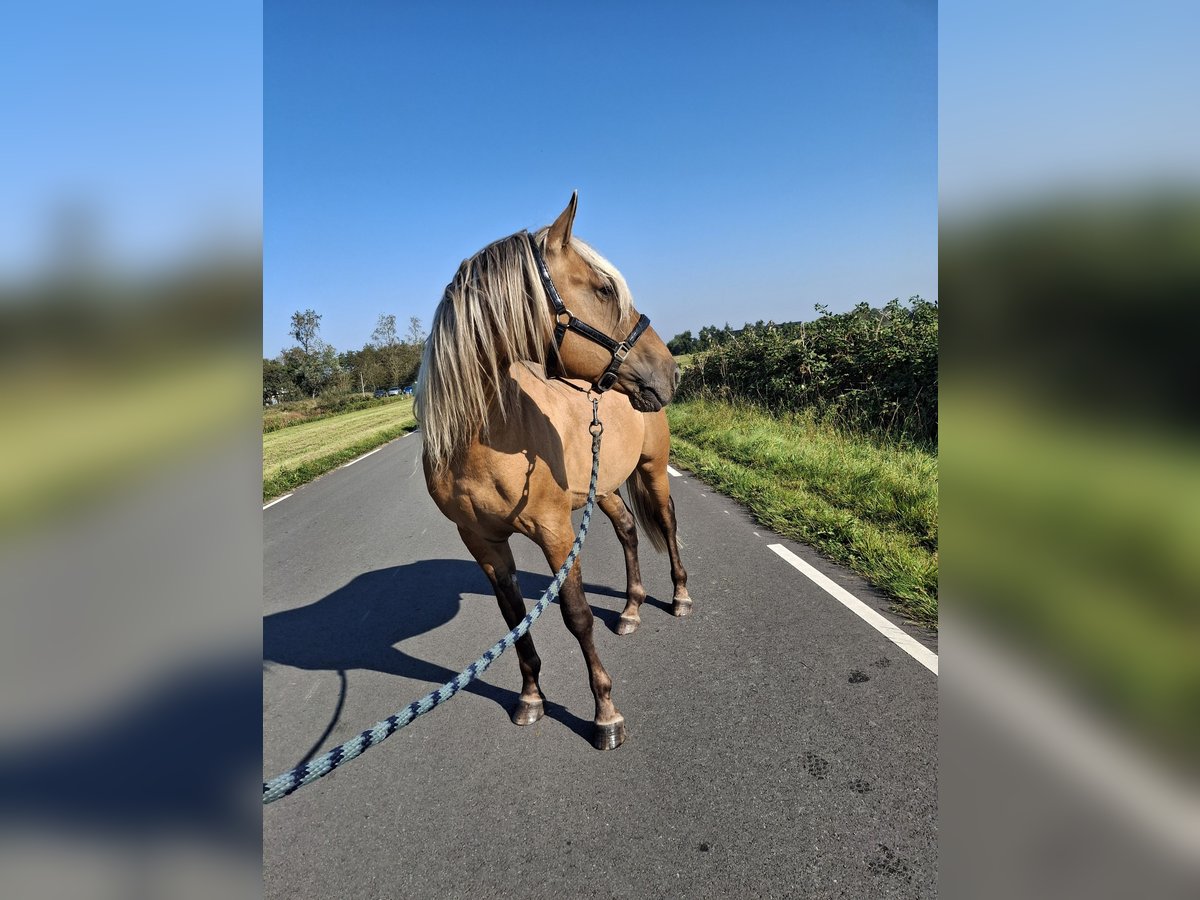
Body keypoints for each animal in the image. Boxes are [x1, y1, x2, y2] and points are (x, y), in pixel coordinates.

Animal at [415, 194, 691, 748]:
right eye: (604, 288)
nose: (671, 372)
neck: (485, 439)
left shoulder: (555, 531)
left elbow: (577, 615)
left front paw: (605, 713)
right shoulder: (483, 543)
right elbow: (515, 617)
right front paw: (530, 698)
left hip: (651, 470)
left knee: (667, 523)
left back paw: (679, 596)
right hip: (601, 489)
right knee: (628, 530)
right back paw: (631, 609)